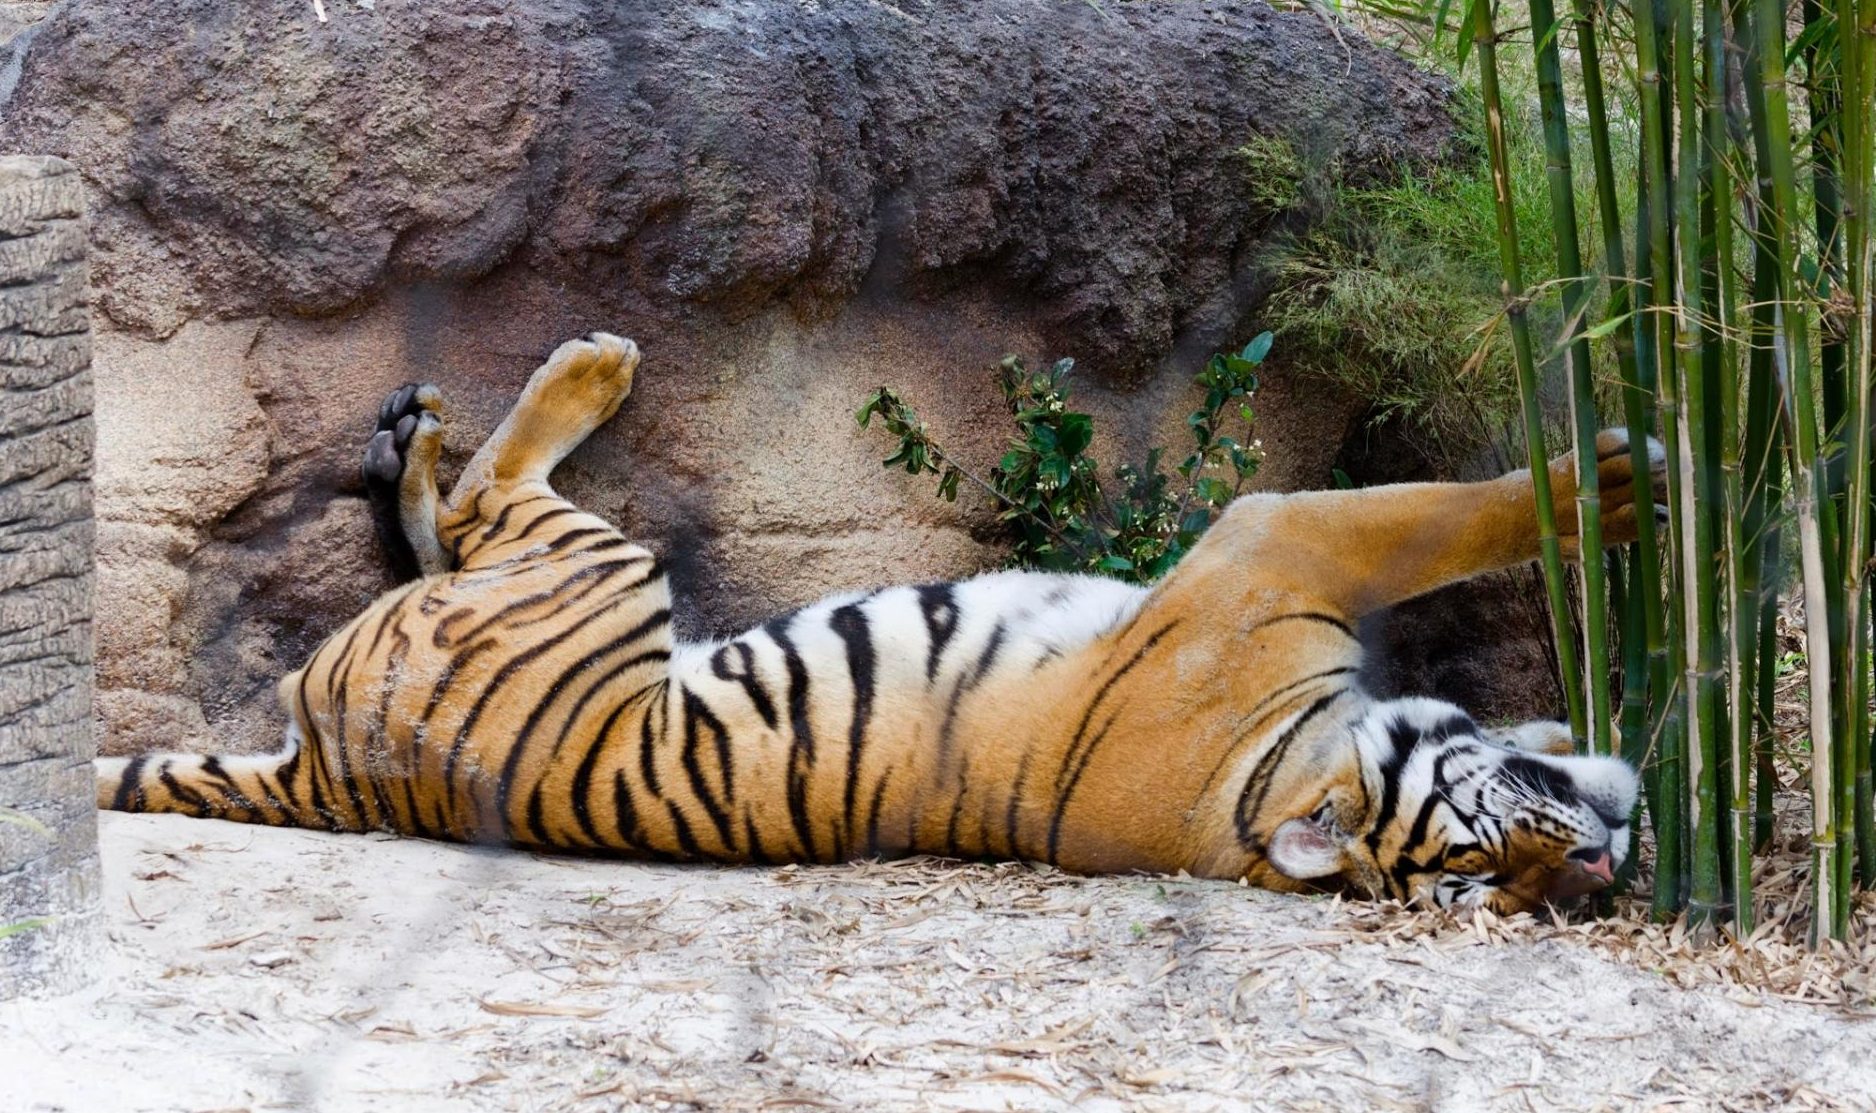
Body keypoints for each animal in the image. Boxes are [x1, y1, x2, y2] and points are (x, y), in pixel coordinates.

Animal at [97, 332, 1663, 914]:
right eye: (1482, 857)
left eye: (1508, 896)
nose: (1603, 869)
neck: (1276, 776)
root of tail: (331, 773)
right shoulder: (1276, 539)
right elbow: (1458, 510)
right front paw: (1623, 487)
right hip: (600, 571)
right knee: (488, 491)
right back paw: (551, 379)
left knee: (450, 527)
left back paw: (404, 438)